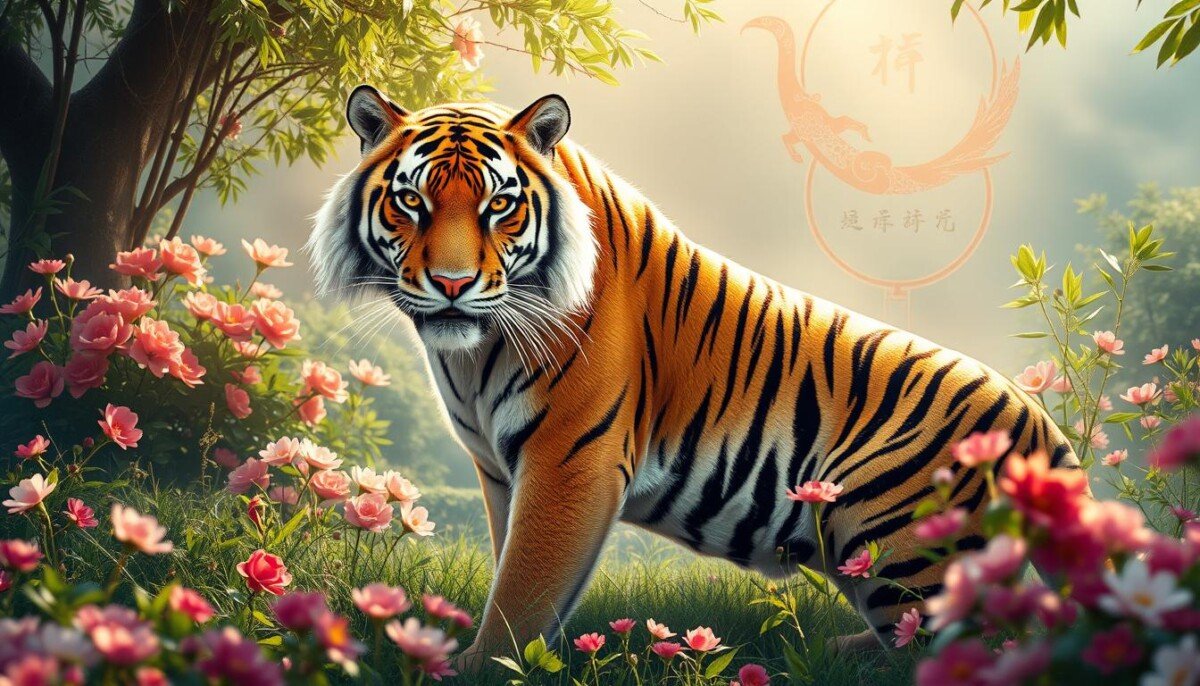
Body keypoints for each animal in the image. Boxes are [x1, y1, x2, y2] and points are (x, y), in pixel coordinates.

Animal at [307, 85, 1080, 662]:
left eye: (500, 205)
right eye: (412, 201)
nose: (452, 284)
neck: (470, 353)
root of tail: (1038, 420)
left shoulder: (568, 460)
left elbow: (524, 588)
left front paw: (481, 664)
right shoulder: (500, 470)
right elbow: (508, 563)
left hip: (894, 537)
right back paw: (838, 647)